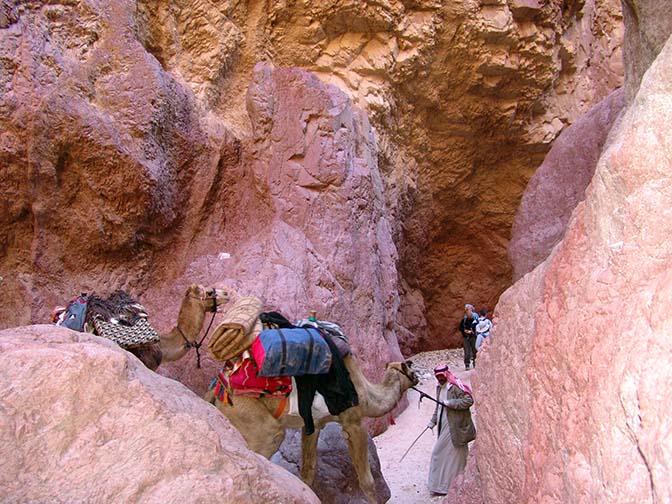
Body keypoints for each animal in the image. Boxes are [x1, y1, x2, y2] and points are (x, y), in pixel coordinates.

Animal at [207, 354, 418, 504]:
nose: (417, 376)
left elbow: (307, 473)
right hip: (253, 420)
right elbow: (367, 481)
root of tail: (217, 389)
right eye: (410, 367)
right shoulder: (353, 422)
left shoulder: (314, 425)